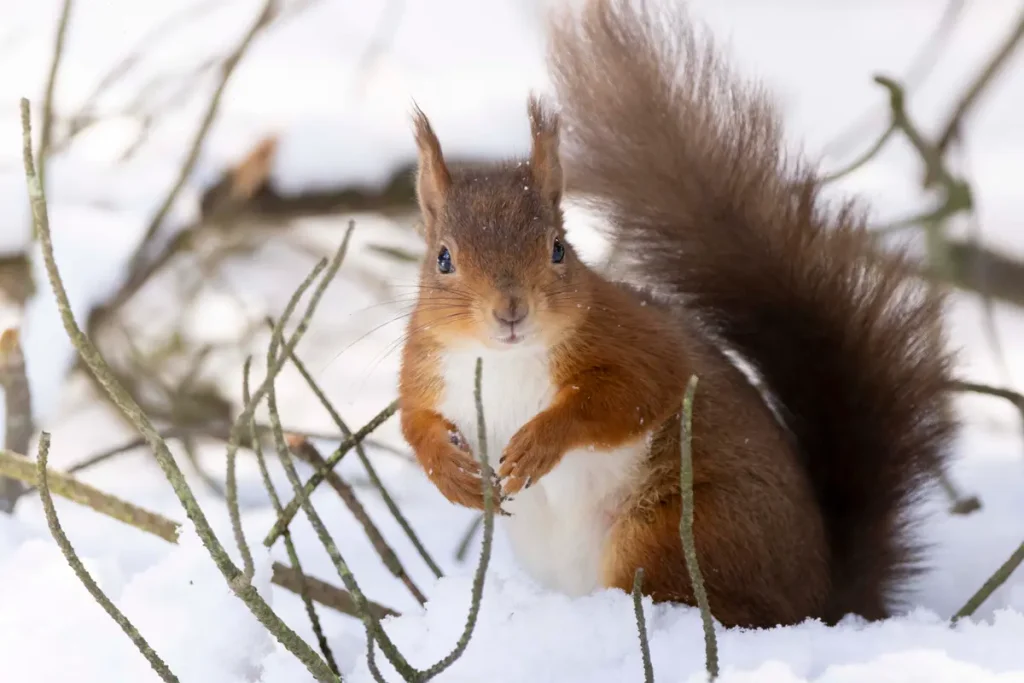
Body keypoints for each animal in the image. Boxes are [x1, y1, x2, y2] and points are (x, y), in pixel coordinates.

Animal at [395, 0, 954, 630]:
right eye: (443, 259)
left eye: (559, 249)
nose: (510, 309)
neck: (505, 360)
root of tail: (825, 603)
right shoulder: (425, 366)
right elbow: (414, 422)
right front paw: (451, 474)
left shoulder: (634, 343)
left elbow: (630, 395)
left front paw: (540, 442)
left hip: (677, 532)